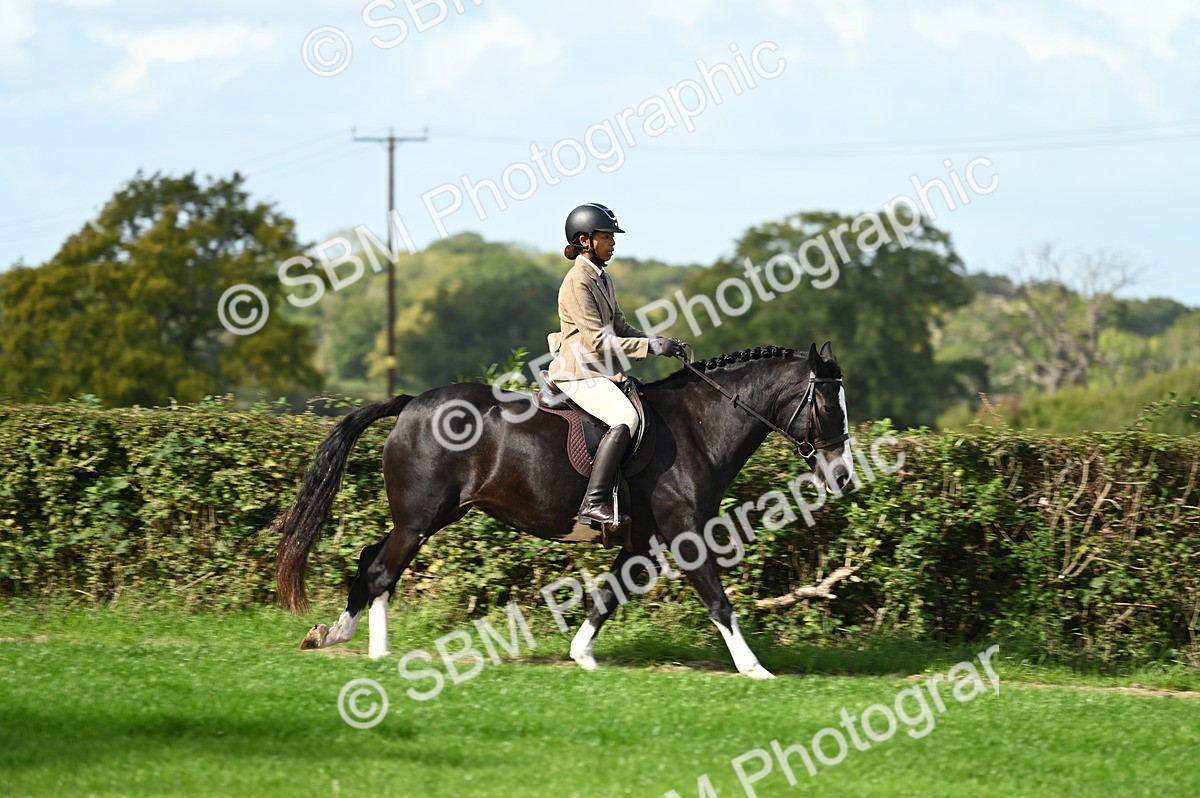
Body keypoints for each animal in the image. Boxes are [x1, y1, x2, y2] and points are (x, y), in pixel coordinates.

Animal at [273, 341, 854, 678]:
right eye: (829, 405)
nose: (845, 476)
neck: (698, 426)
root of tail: (411, 403)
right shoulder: (685, 534)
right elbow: (718, 600)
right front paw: (755, 670)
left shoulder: (642, 541)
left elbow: (609, 596)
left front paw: (582, 655)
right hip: (421, 520)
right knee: (379, 567)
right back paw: (358, 645)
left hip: (429, 518)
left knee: (375, 560)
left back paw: (350, 640)